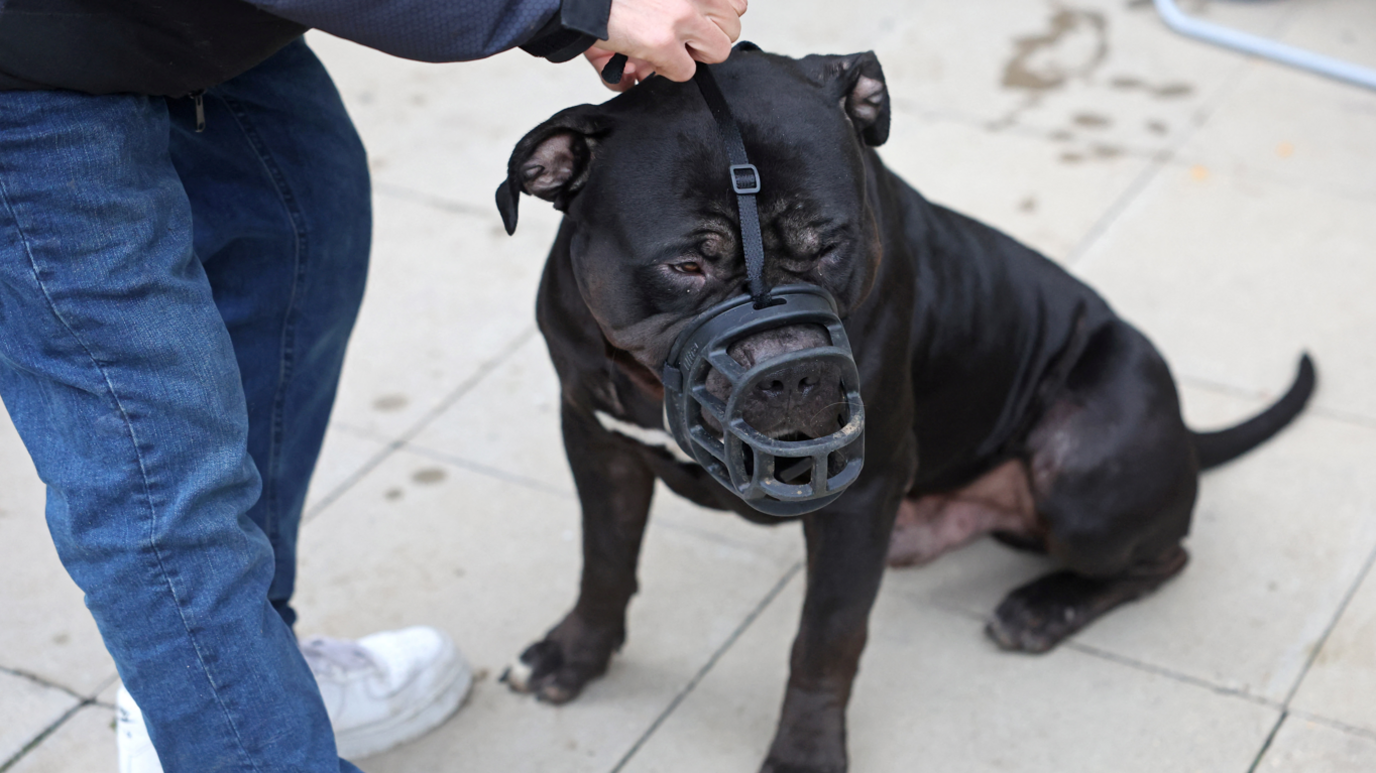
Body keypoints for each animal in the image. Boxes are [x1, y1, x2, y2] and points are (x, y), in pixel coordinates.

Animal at [492, 45, 1309, 764]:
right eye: (686, 265)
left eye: (829, 245)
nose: (790, 374)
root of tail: (1186, 432)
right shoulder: (596, 441)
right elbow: (603, 561)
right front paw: (574, 654)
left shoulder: (865, 487)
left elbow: (826, 637)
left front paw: (805, 753)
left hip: (1087, 471)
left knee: (1163, 555)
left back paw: (1047, 607)